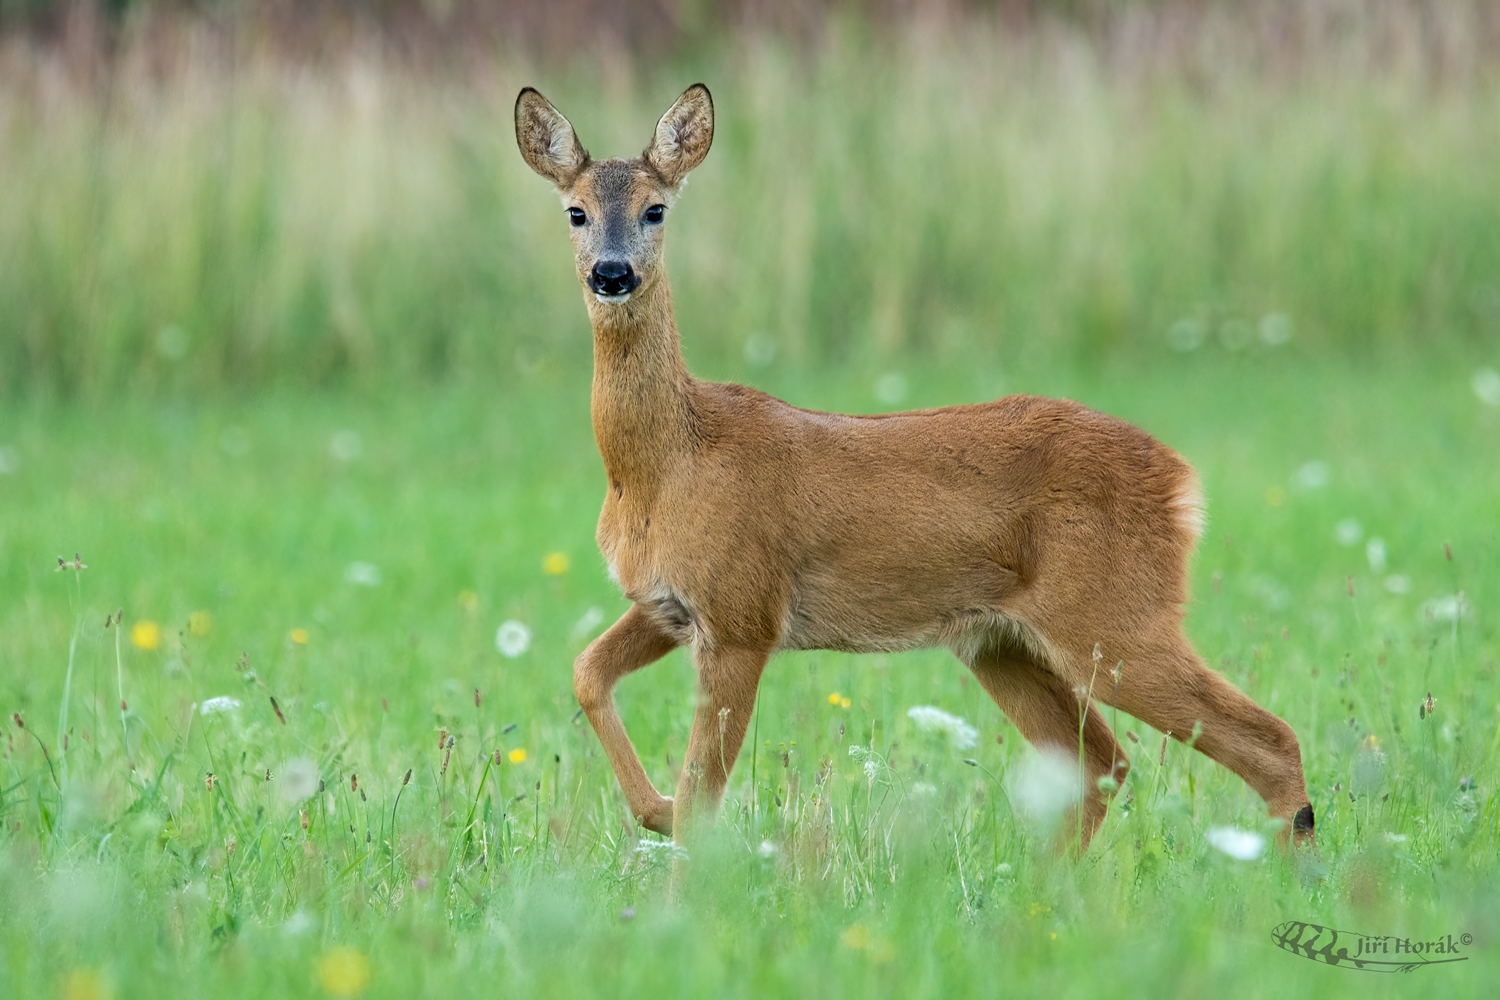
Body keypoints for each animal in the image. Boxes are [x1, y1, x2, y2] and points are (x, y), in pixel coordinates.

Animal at [516, 83, 1314, 851]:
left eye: (655, 209)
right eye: (576, 212)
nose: (612, 274)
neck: (662, 468)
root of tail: (1182, 481)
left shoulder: (743, 613)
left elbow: (700, 801)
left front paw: (677, 861)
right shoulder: (666, 603)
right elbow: (587, 674)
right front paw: (649, 807)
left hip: (1115, 617)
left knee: (1268, 741)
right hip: (1001, 641)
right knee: (1104, 765)